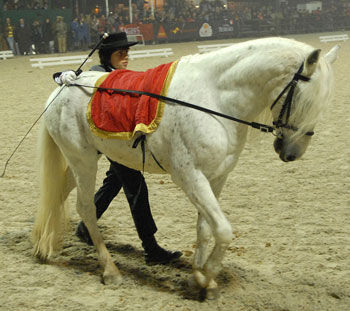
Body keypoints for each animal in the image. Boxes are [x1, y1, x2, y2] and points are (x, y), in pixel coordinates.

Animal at [31, 37, 338, 302]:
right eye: (304, 100)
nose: (291, 153)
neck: (215, 98)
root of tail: (64, 85)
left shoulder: (216, 177)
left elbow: (205, 228)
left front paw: (199, 278)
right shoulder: (190, 177)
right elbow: (223, 230)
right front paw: (206, 277)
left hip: (83, 161)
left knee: (58, 193)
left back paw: (44, 245)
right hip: (83, 161)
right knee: (86, 208)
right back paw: (110, 271)